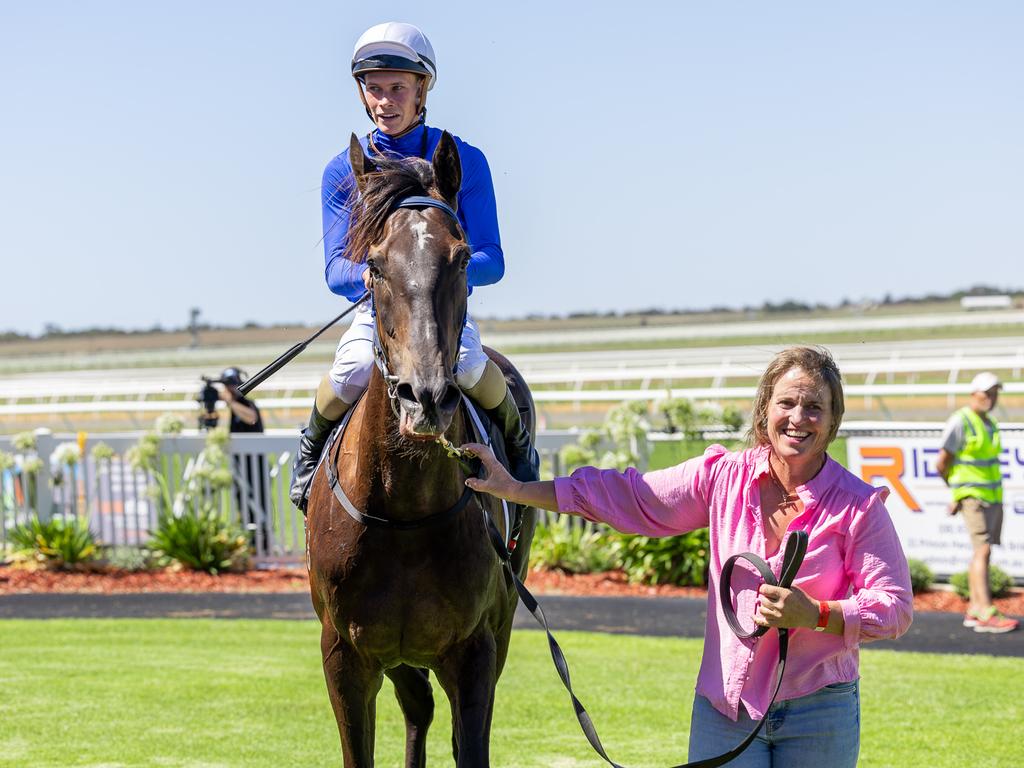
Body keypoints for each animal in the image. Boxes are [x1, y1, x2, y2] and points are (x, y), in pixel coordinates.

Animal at [303, 134, 540, 768]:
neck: (405, 511)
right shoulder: (345, 655)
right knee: (418, 710)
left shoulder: (477, 649)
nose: (426, 395)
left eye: (460, 258)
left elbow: (470, 746)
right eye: (375, 265)